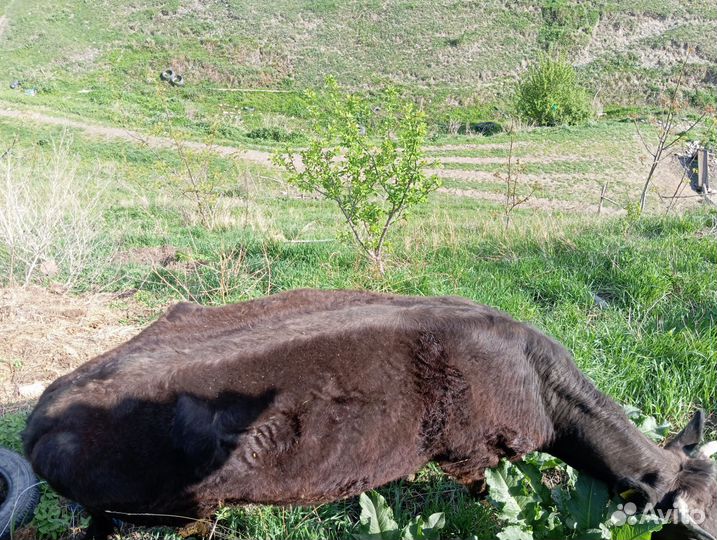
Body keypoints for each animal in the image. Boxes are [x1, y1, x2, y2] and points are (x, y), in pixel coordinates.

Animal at [22, 289, 717, 540]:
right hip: (179, 509)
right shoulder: (471, 451)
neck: (543, 388)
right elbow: (479, 494)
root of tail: (37, 422)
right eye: (691, 524)